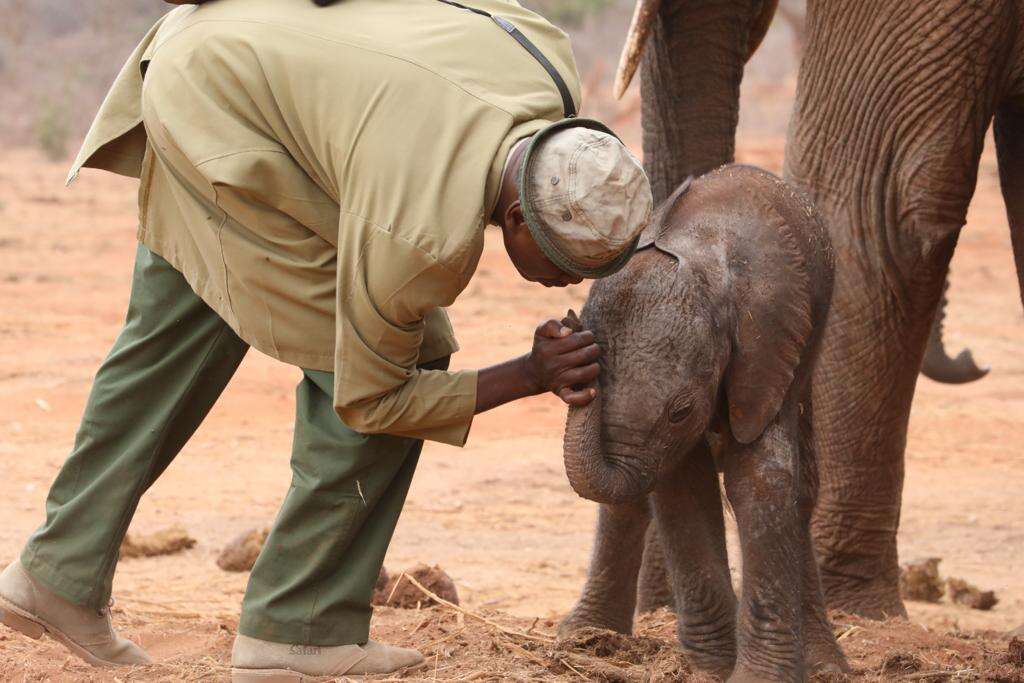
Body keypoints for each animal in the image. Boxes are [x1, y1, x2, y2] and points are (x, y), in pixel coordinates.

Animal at [561, 162, 847, 679]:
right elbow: (682, 488)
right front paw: (710, 670)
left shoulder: (766, 349)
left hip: (812, 338)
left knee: (802, 489)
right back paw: (584, 638)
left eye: (681, 412)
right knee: (631, 500)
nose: (569, 324)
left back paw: (826, 666)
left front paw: (757, 677)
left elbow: (762, 481)